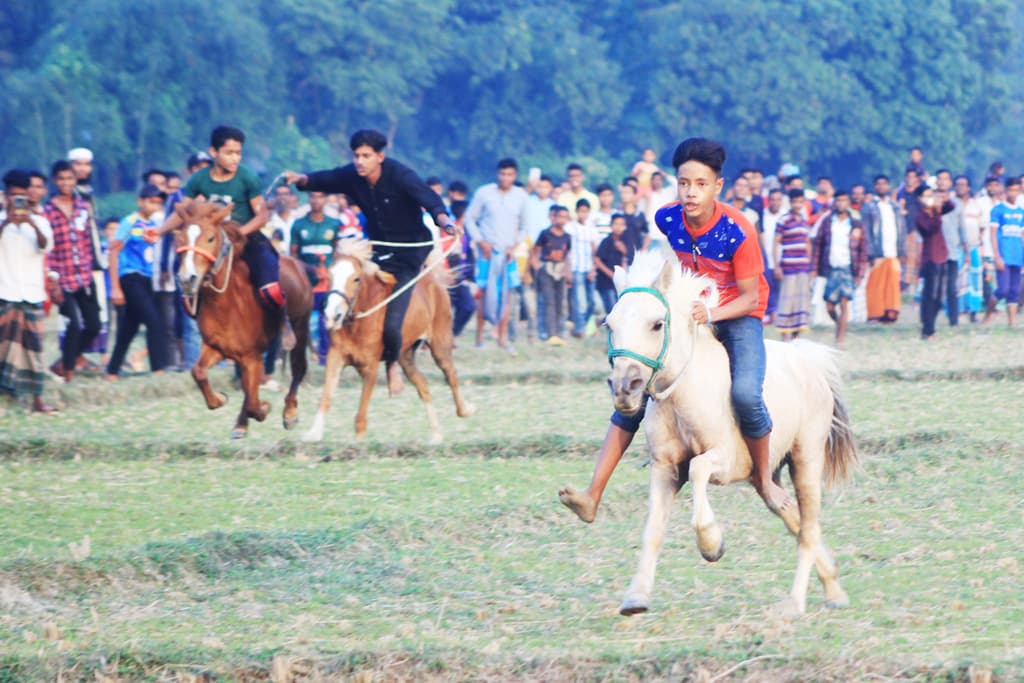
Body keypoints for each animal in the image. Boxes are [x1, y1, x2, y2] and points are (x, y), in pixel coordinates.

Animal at [175, 200, 311, 440]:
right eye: (180, 238)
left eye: (211, 238)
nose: (187, 279)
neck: (226, 303)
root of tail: (297, 264)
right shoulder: (217, 347)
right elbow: (198, 372)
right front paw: (220, 399)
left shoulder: (251, 355)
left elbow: (254, 402)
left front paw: (264, 408)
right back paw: (242, 423)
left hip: (300, 326)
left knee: (298, 368)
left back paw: (289, 412)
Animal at [301, 239, 473, 444]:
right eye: (329, 275)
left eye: (356, 279)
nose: (332, 315)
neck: (358, 322)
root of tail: (433, 280)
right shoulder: (335, 357)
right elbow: (326, 395)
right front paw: (314, 432)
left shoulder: (371, 366)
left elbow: (361, 412)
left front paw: (358, 441)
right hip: (406, 355)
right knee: (422, 384)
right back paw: (436, 434)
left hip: (440, 343)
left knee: (451, 374)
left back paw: (465, 410)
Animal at [602, 253, 860, 618]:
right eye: (609, 325)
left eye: (657, 324)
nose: (625, 387)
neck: (684, 395)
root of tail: (808, 360)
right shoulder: (664, 467)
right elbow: (652, 530)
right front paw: (636, 597)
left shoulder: (728, 461)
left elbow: (698, 469)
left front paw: (711, 543)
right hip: (768, 474)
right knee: (791, 516)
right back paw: (833, 587)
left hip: (807, 458)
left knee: (807, 529)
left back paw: (794, 603)